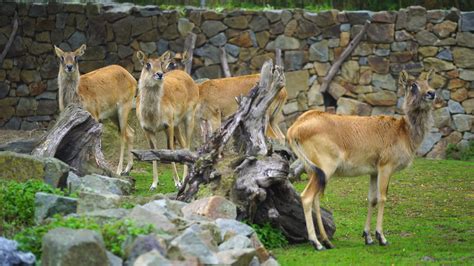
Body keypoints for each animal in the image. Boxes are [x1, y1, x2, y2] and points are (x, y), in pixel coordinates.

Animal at [55, 44, 137, 176]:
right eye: (61, 57)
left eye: (76, 57)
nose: (69, 67)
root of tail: (133, 79)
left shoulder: (94, 113)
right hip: (113, 114)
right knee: (130, 131)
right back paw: (127, 169)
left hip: (125, 105)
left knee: (123, 135)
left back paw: (119, 170)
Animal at [136, 50, 199, 191]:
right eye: (147, 64)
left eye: (160, 63)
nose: (159, 74)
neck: (153, 117)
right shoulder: (146, 129)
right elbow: (153, 152)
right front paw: (153, 184)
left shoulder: (168, 124)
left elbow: (170, 149)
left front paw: (177, 183)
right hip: (177, 125)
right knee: (183, 145)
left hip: (189, 117)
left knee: (187, 145)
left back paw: (184, 179)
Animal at [286, 70, 436, 249]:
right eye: (413, 85)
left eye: (428, 82)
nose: (432, 93)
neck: (403, 131)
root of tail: (294, 128)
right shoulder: (386, 167)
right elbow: (382, 197)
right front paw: (381, 237)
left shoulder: (373, 172)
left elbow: (372, 199)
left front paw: (368, 237)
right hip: (325, 168)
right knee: (307, 197)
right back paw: (316, 242)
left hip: (313, 171)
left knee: (315, 198)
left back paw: (327, 241)